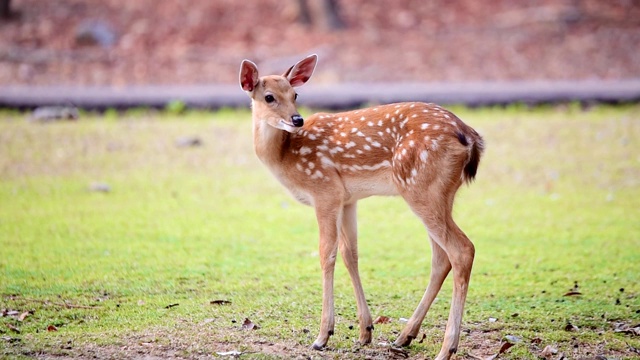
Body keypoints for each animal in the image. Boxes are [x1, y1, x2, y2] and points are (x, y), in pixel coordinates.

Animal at [240, 54, 484, 360]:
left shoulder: (324, 190)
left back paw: (446, 348)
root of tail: (470, 137)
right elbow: (350, 254)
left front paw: (323, 336)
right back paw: (405, 336)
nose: (297, 119)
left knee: (462, 249)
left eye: (295, 95)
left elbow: (326, 253)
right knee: (441, 258)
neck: (285, 157)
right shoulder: (348, 199)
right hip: (439, 193)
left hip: (421, 187)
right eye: (269, 97)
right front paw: (365, 331)